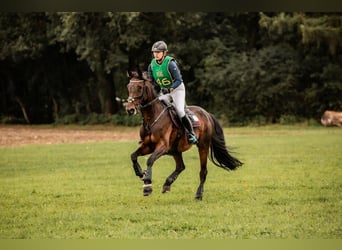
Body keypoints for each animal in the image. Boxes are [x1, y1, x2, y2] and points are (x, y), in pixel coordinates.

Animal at [125, 71, 243, 200]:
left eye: (139, 87)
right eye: (128, 87)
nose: (130, 109)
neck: (152, 118)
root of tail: (207, 114)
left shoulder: (162, 146)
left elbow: (150, 160)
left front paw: (147, 185)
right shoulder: (148, 146)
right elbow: (133, 156)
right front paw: (140, 173)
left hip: (203, 146)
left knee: (203, 171)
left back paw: (198, 194)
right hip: (175, 150)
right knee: (181, 166)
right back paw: (167, 184)